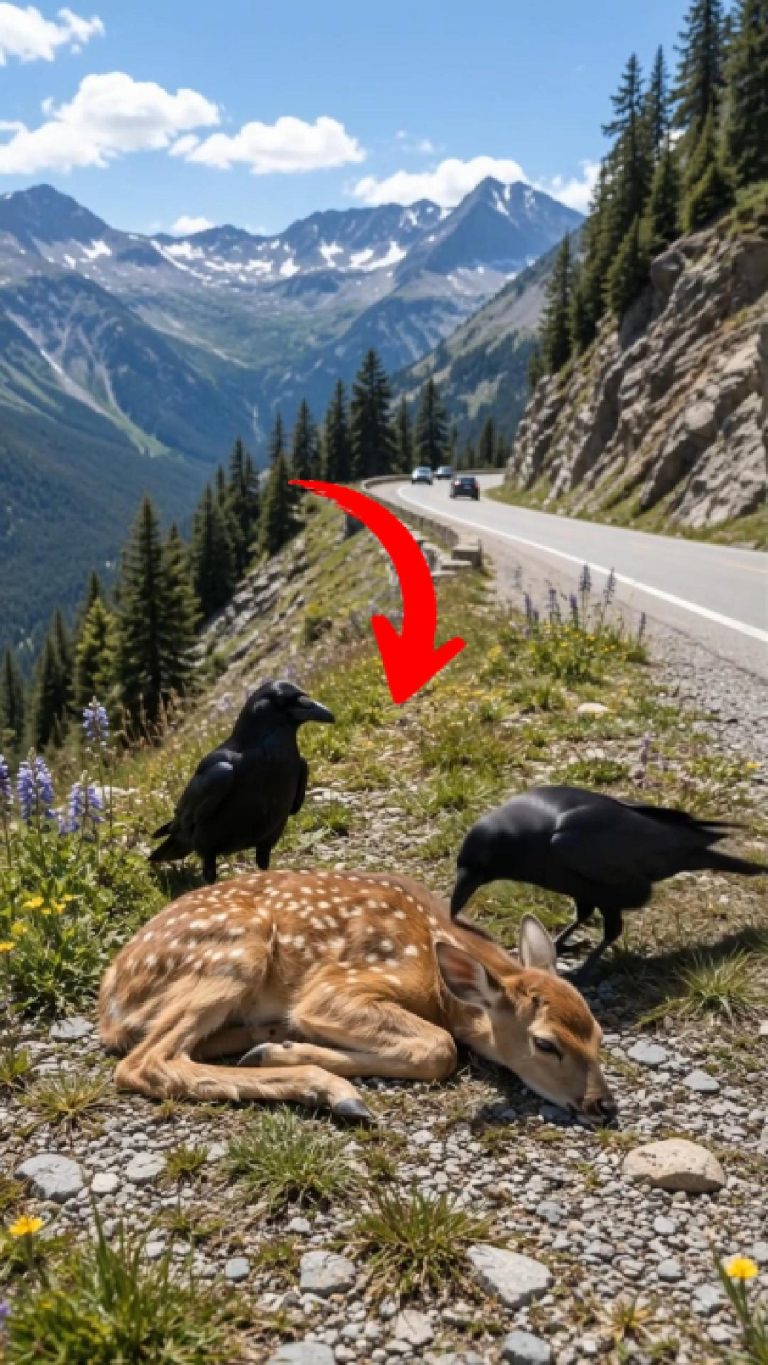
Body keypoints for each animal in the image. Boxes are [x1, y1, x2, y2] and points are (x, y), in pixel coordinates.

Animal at [98, 869, 617, 1126]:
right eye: (545, 1044)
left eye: (599, 1034)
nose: (603, 1106)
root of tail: (110, 1003)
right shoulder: (336, 984)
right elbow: (440, 1048)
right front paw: (290, 1055)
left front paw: (283, 1046)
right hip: (236, 950)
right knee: (146, 1062)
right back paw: (330, 1089)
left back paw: (271, 1039)